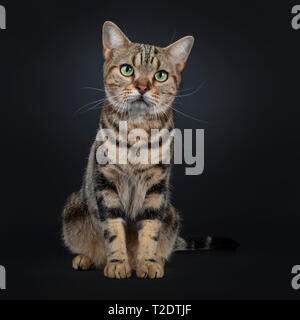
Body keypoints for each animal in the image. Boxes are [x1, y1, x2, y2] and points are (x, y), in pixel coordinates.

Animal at [62, 21, 238, 278]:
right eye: (127, 70)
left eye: (160, 75)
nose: (143, 87)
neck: (137, 128)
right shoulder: (106, 182)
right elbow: (113, 231)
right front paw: (118, 263)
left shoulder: (157, 186)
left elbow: (150, 231)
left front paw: (147, 262)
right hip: (73, 208)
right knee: (94, 249)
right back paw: (87, 258)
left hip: (171, 214)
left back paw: (154, 260)